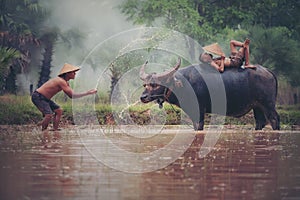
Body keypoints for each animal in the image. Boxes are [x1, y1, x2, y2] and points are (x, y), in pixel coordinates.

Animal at [139, 58, 280, 130]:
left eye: (156, 84)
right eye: (145, 84)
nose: (143, 97)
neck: (184, 83)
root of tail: (268, 71)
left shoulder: (199, 112)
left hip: (268, 104)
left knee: (274, 119)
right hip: (257, 106)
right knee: (260, 122)